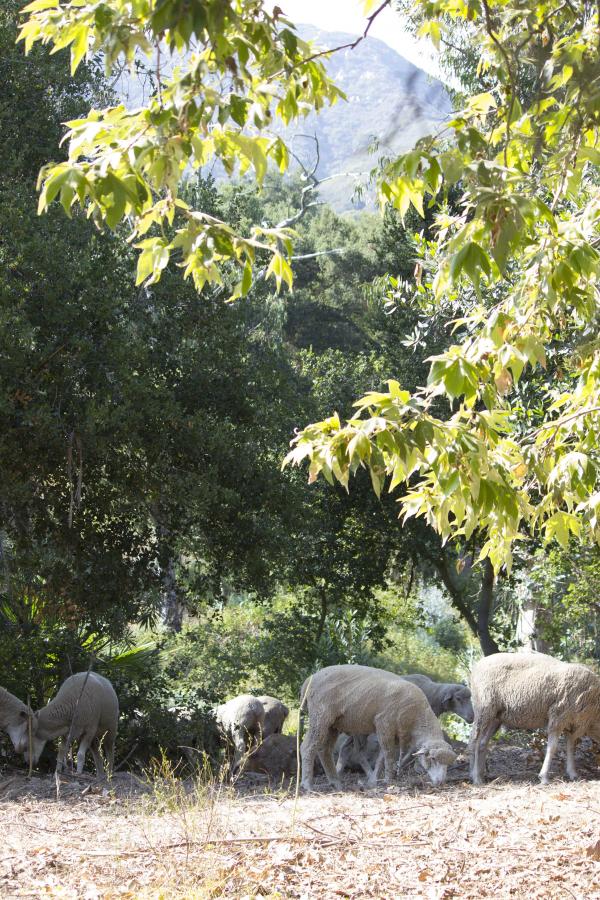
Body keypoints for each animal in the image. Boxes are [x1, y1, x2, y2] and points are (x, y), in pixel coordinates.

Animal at [300, 664, 457, 790]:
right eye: (433, 759)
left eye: (448, 764)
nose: (441, 782)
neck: (416, 717)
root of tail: (308, 680)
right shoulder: (384, 723)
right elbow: (388, 754)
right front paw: (388, 779)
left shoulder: (394, 733)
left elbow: (382, 756)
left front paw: (374, 780)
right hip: (320, 715)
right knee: (307, 747)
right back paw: (307, 785)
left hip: (333, 724)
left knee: (324, 750)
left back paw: (336, 783)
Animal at [335, 674, 473, 778]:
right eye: (458, 698)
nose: (472, 717)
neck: (433, 694)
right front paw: (411, 766)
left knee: (346, 747)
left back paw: (339, 771)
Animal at [469, 651, 600, 785]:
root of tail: (477, 666)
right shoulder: (558, 716)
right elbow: (552, 747)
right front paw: (544, 777)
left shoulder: (574, 723)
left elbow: (571, 747)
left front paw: (572, 773)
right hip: (484, 706)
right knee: (474, 740)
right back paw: (475, 777)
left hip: (496, 717)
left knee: (483, 743)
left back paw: (481, 775)